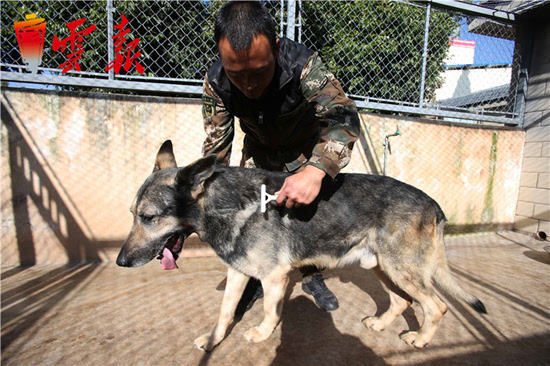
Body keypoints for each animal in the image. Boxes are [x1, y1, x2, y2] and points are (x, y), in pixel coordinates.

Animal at [116, 141, 488, 352]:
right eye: (132, 214)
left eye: (148, 217)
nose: (120, 262)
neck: (226, 204)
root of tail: (434, 204)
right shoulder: (238, 273)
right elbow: (224, 312)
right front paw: (213, 341)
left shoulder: (275, 277)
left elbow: (269, 310)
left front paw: (262, 334)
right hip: (384, 267)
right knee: (402, 301)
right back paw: (382, 325)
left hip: (401, 268)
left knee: (436, 306)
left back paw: (421, 339)